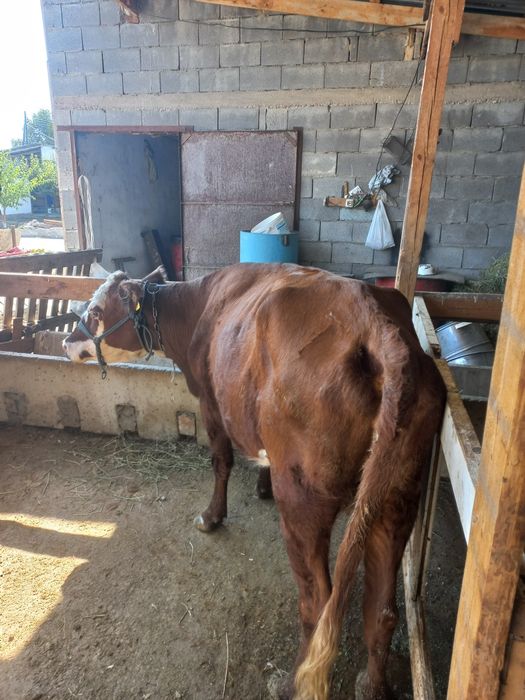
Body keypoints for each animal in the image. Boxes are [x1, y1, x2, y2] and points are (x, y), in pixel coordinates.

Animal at [63, 263, 446, 700]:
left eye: (95, 310)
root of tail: (375, 324)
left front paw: (211, 516)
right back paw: (372, 686)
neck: (198, 308)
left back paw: (290, 682)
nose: (67, 341)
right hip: (398, 497)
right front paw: (261, 486)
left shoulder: (210, 400)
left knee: (317, 601)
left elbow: (221, 460)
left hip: (302, 498)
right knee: (381, 611)